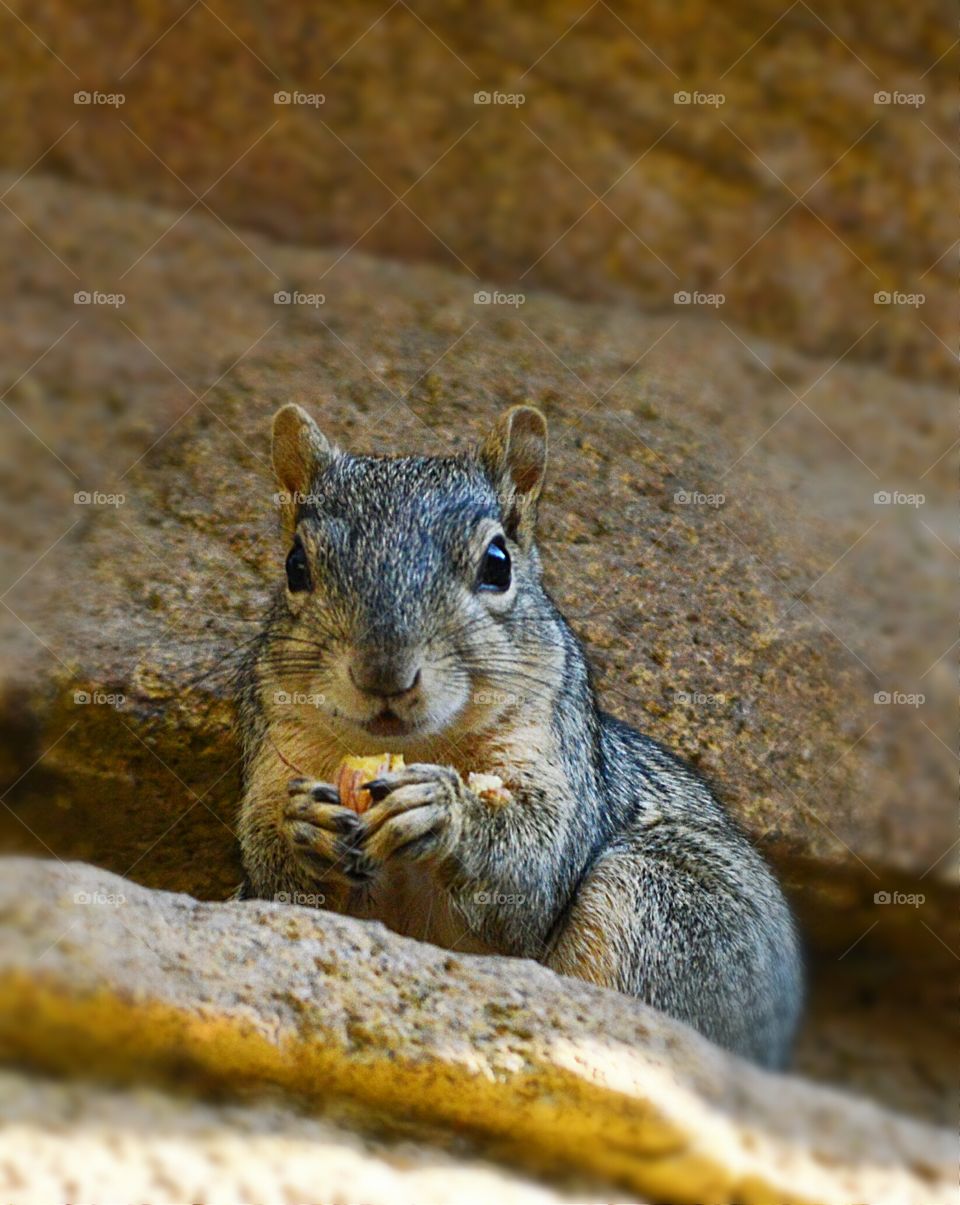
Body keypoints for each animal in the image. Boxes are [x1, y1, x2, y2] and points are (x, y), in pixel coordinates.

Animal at [236, 402, 803, 1069]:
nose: (384, 673)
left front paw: (447, 812)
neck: (417, 746)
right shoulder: (281, 744)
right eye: (296, 566)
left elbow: (531, 873)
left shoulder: (552, 740)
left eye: (497, 565)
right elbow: (281, 882)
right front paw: (299, 825)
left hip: (655, 901)